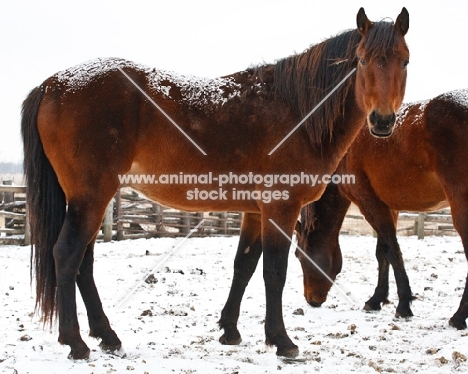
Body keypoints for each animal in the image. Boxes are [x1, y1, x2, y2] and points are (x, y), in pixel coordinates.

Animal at [22, 8, 410, 360]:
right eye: (362, 61)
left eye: (404, 61)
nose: (382, 121)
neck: (297, 113)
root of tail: (52, 84)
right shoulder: (280, 208)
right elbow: (274, 272)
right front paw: (281, 341)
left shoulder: (255, 212)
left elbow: (245, 266)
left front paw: (230, 330)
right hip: (91, 197)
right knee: (68, 255)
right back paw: (76, 343)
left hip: (92, 199)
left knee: (83, 263)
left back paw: (107, 336)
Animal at [296, 90, 468, 330]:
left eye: (298, 256)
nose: (311, 300)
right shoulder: (388, 207)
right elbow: (382, 252)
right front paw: (377, 298)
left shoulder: (369, 202)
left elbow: (392, 251)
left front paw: (403, 305)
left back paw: (459, 316)